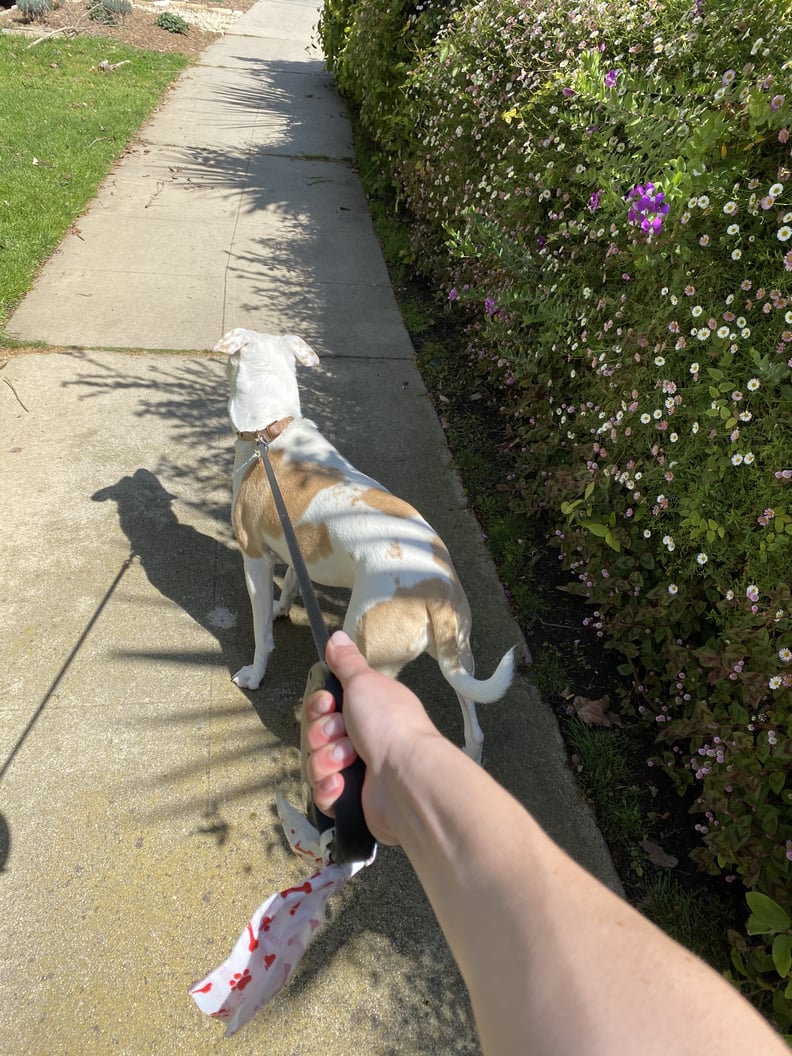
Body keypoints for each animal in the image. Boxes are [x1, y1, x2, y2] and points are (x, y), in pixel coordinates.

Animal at [217, 327, 515, 760]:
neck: (270, 431)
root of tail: (433, 589)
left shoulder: (254, 557)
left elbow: (261, 635)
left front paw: (254, 673)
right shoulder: (296, 549)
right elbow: (290, 582)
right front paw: (281, 608)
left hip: (366, 655)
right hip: (459, 656)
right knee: (475, 727)